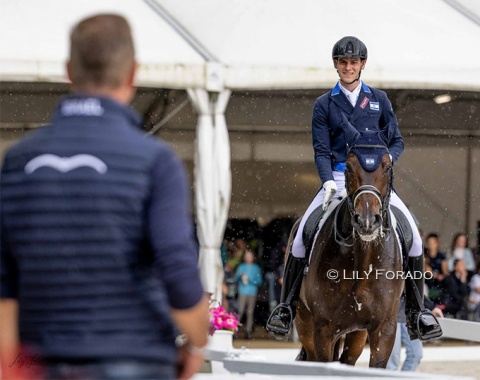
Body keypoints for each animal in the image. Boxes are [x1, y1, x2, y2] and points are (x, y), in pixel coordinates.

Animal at [294, 140, 404, 368]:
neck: (363, 260)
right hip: (304, 321)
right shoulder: (323, 329)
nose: (367, 221)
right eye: (348, 168)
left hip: (357, 334)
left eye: (387, 167)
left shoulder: (384, 328)